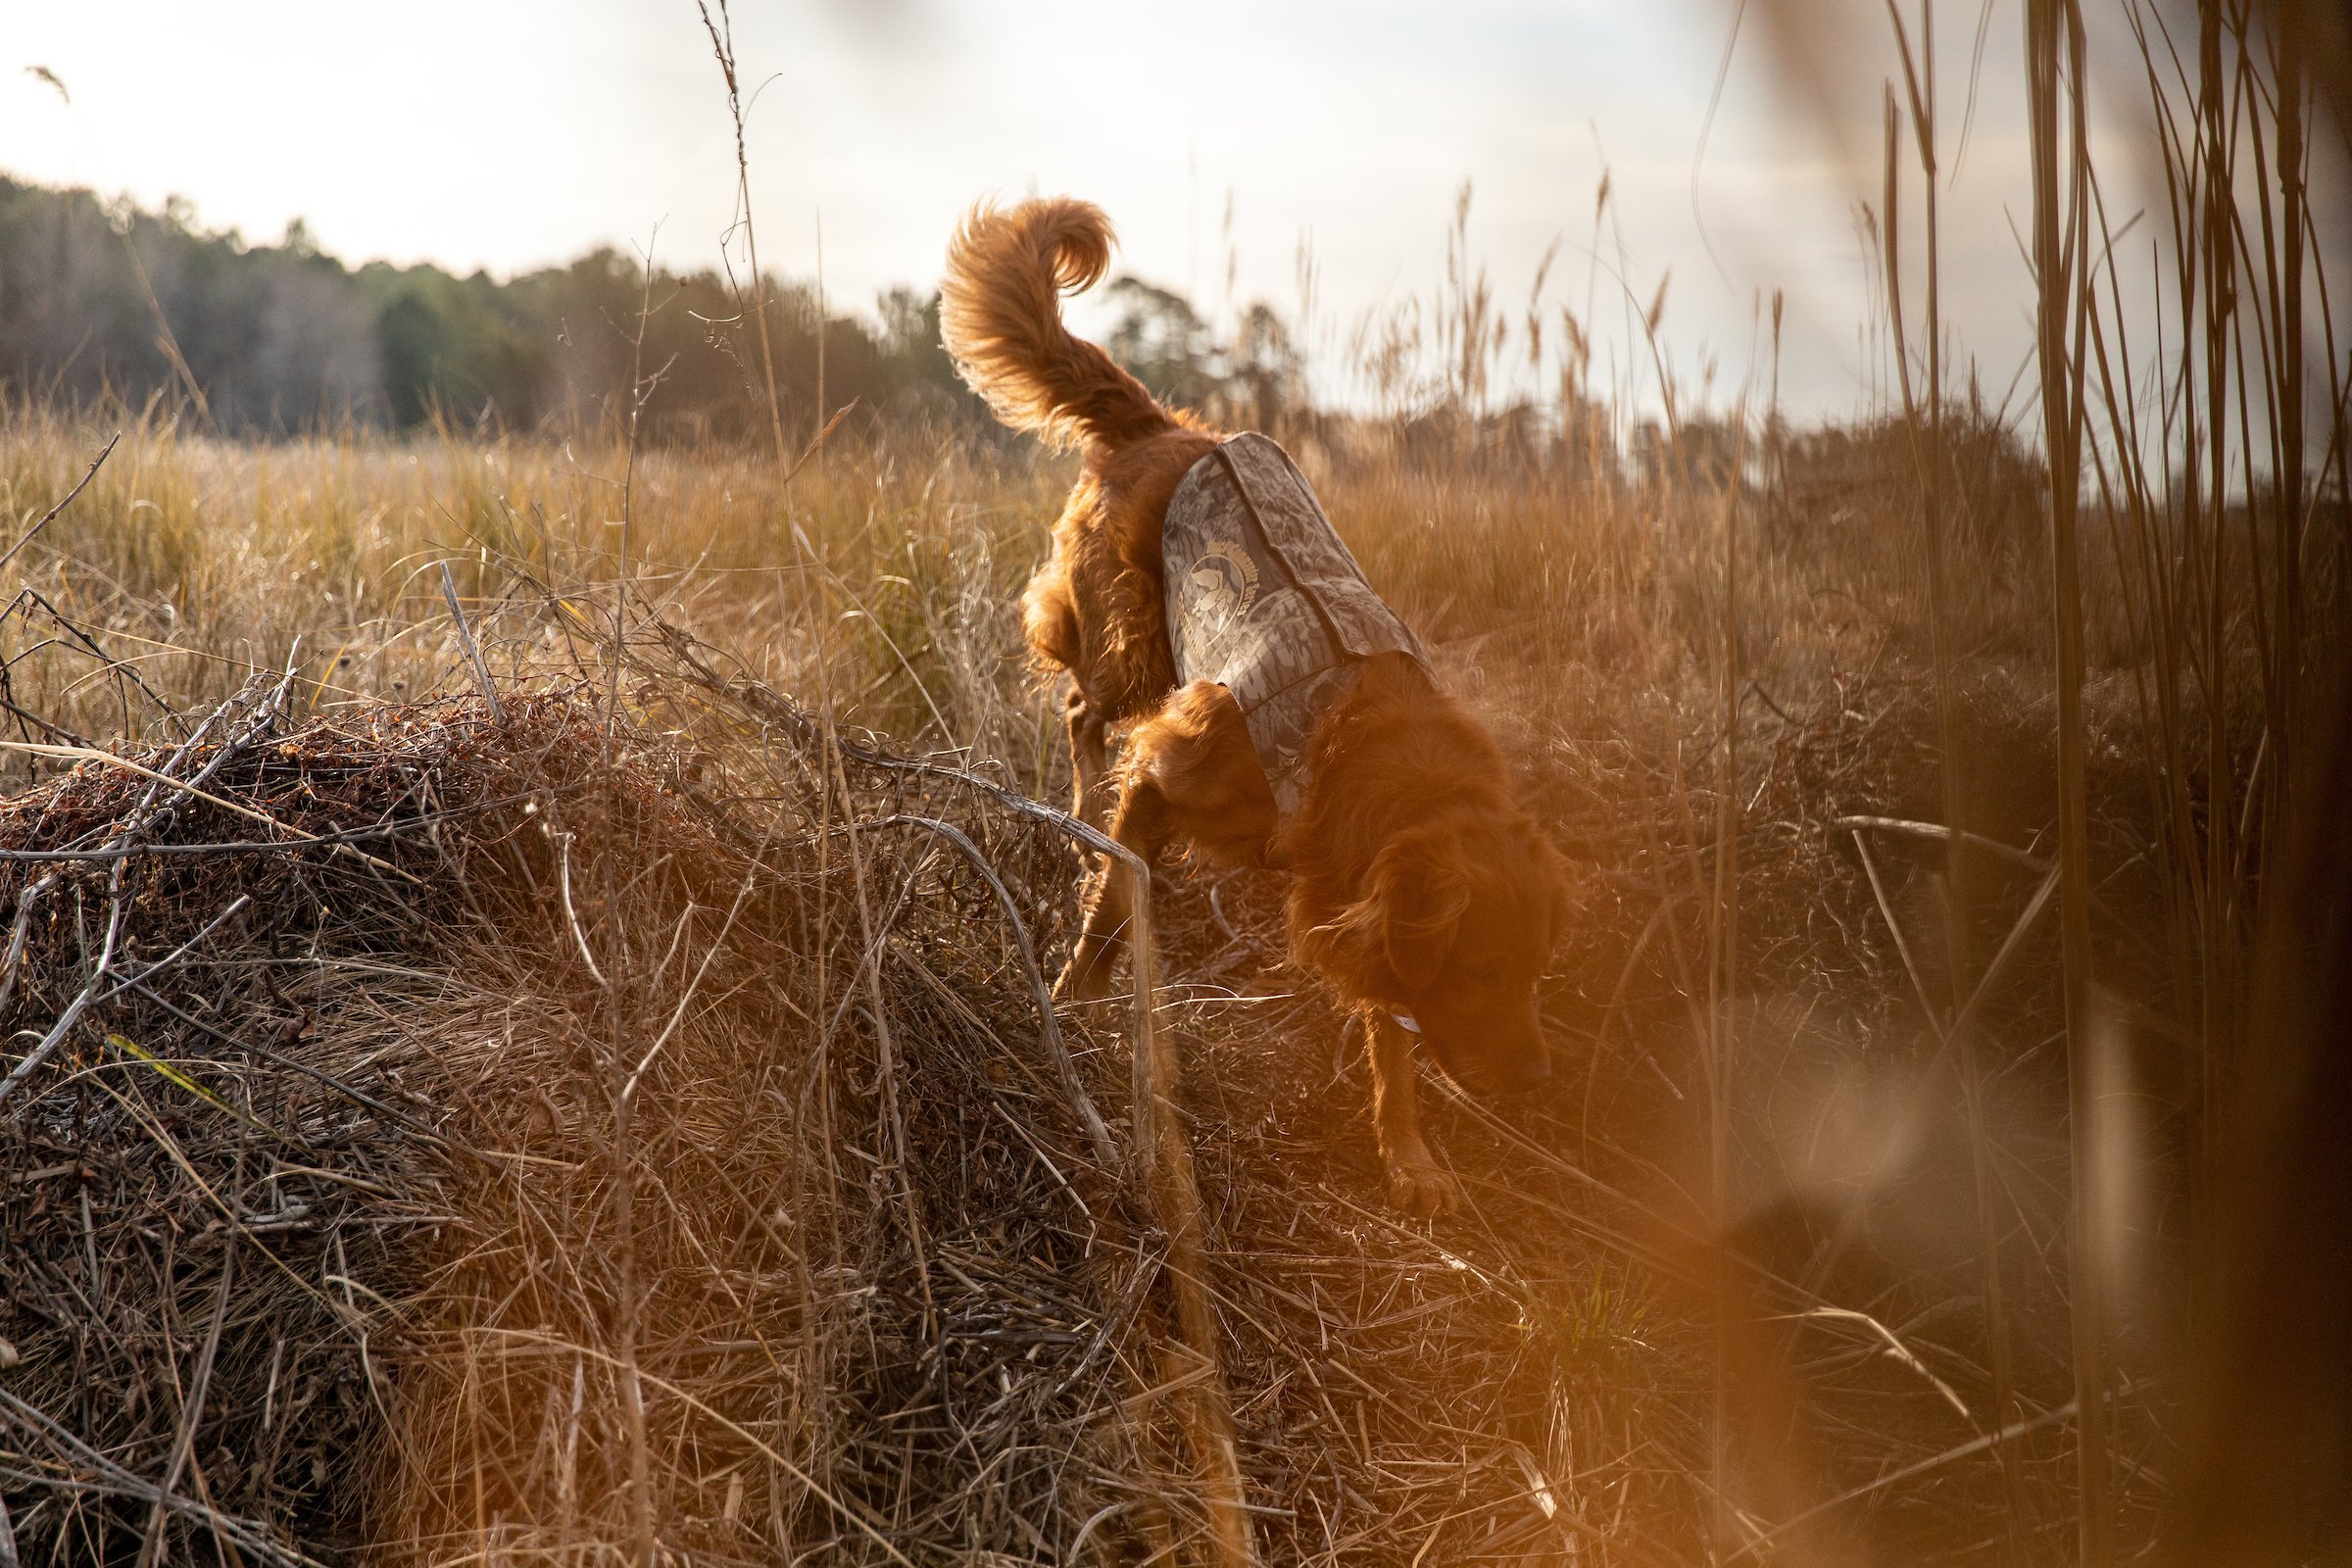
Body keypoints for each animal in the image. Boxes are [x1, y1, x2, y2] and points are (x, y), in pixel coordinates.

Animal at [936, 196, 1561, 1222]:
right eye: (1480, 969)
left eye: (1535, 969)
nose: (1535, 1082)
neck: (1342, 738)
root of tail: (1171, 426)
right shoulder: (1165, 775)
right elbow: (1111, 918)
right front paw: (1070, 1005)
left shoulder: (1355, 882)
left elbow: (1391, 1025)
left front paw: (1408, 1151)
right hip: (1128, 649)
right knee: (1078, 706)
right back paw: (1081, 813)